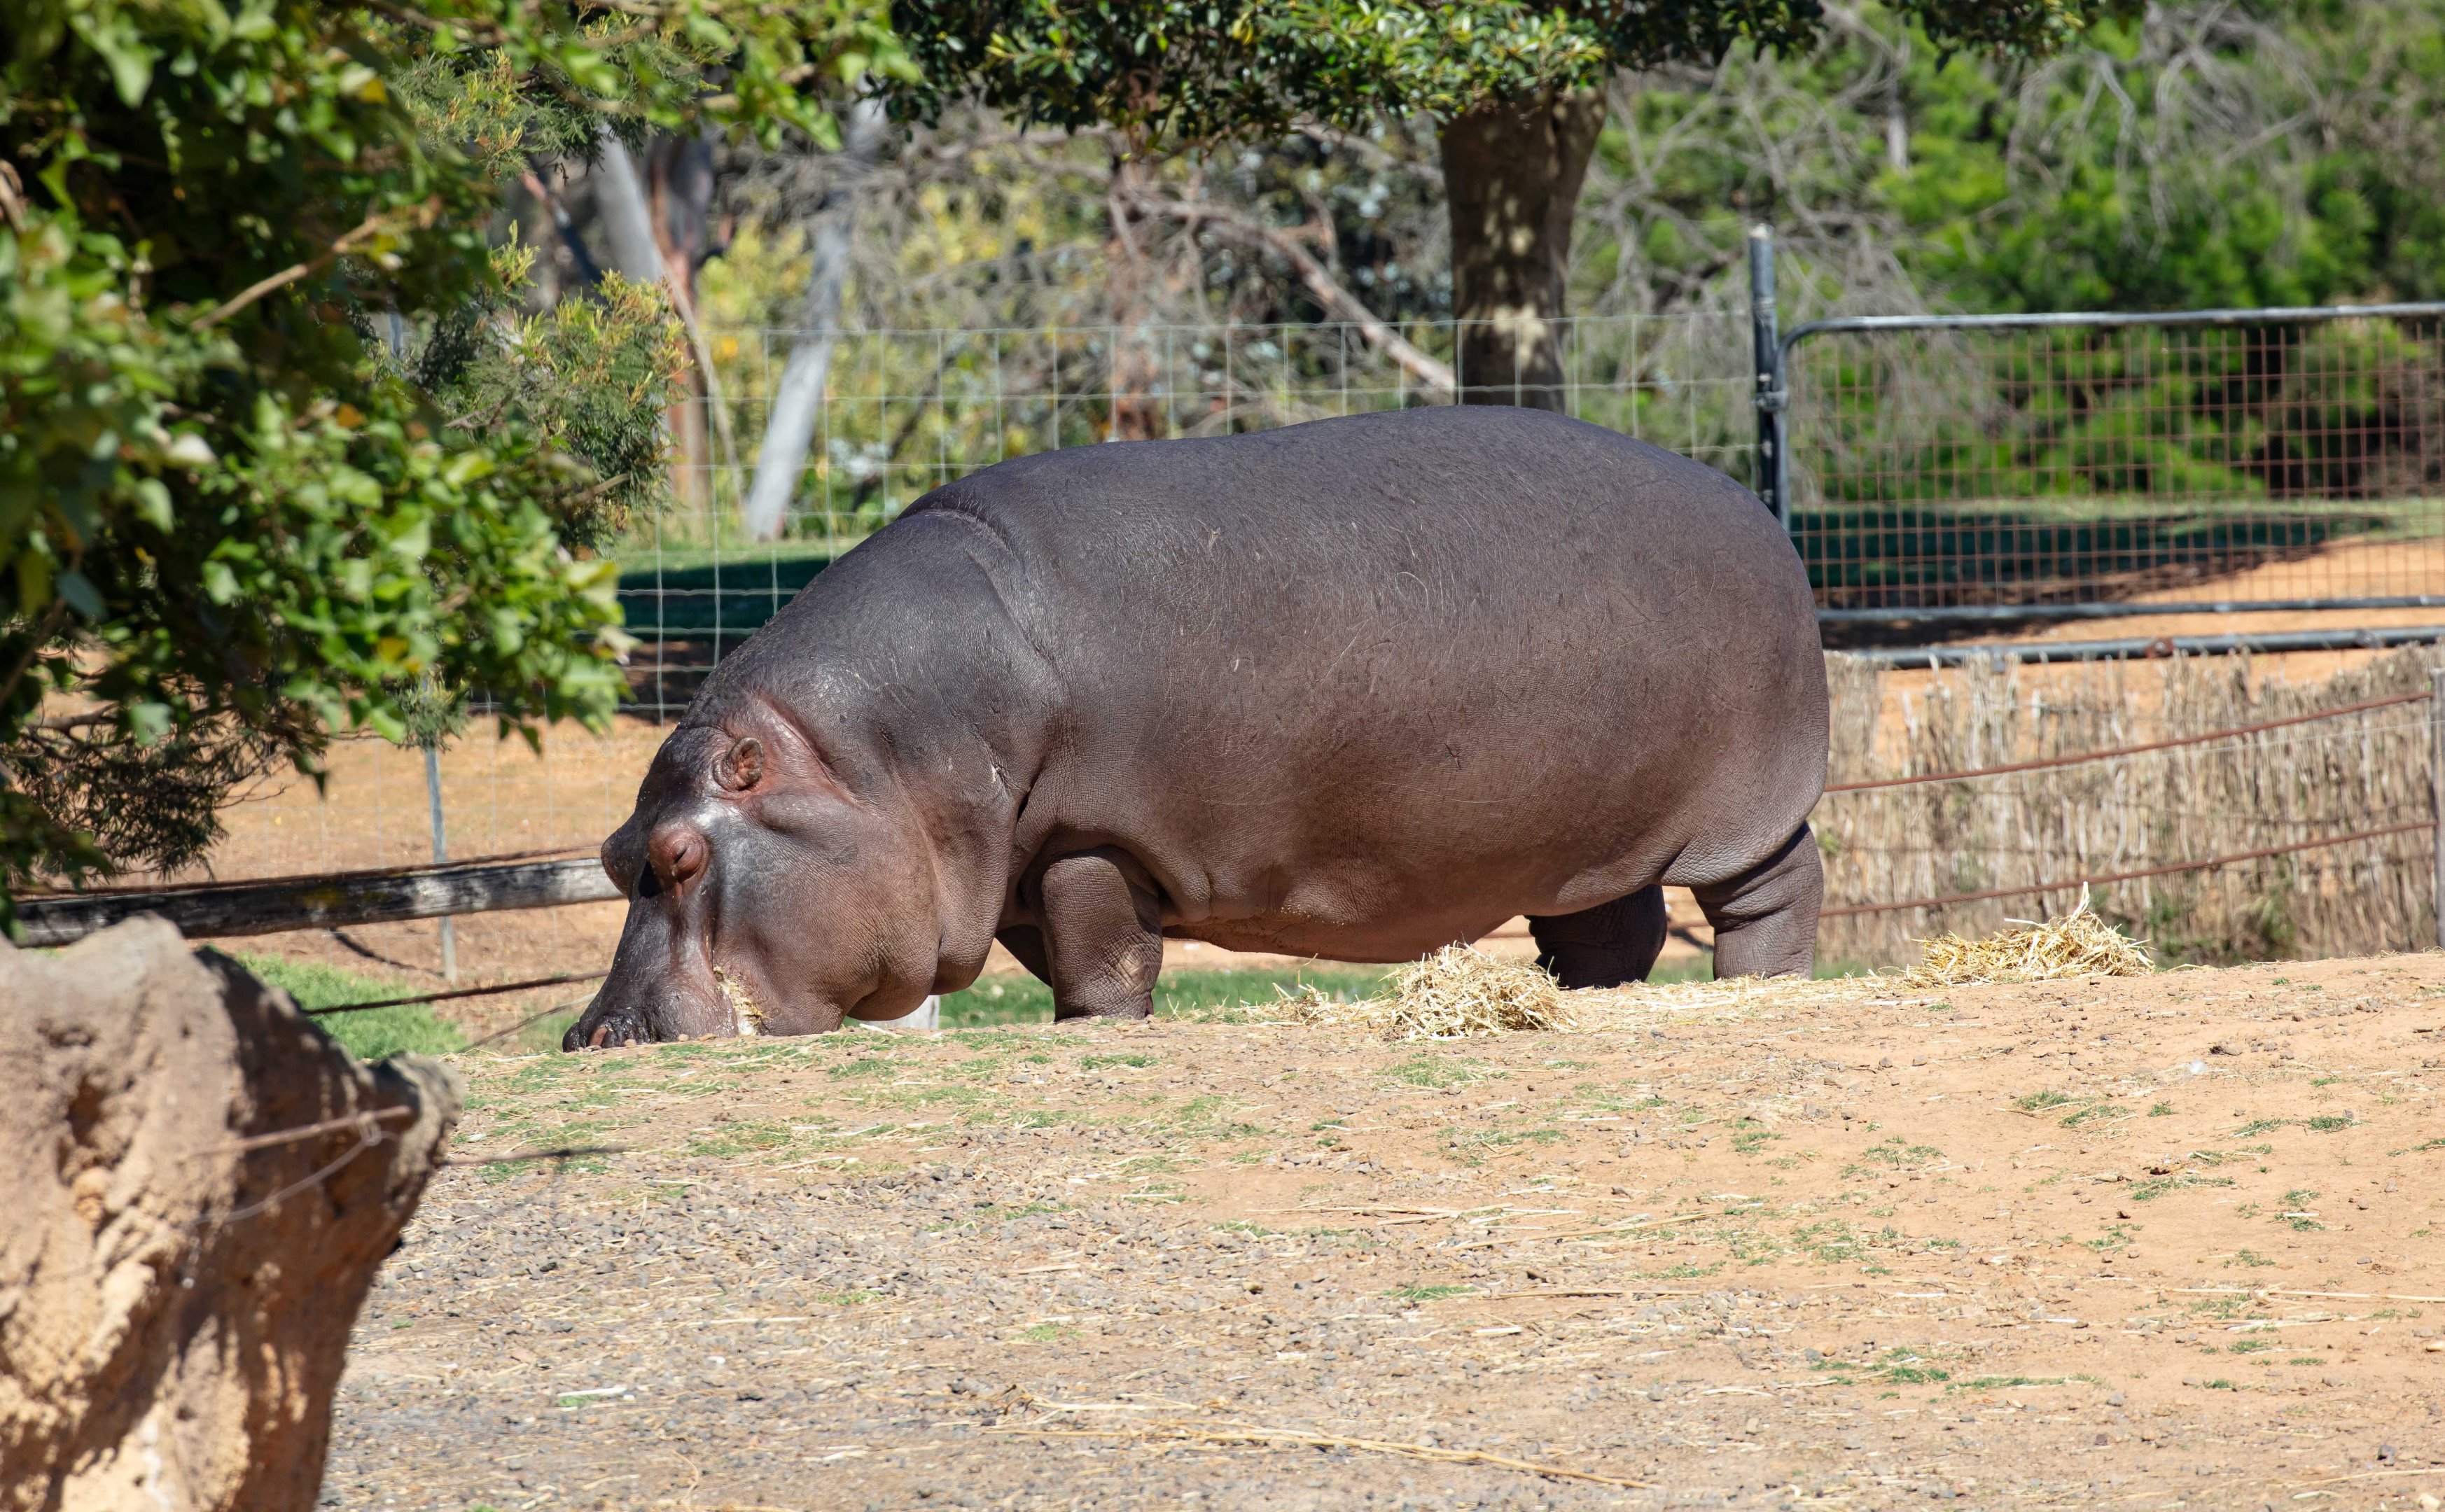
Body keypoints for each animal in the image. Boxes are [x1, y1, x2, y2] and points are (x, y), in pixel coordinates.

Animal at [567, 405, 1826, 1047]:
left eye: (679, 857)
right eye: (616, 854)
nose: (594, 1036)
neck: (859, 761)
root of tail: (1754, 508)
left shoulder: (1089, 837)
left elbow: (1103, 955)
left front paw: (1101, 1032)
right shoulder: (1014, 864)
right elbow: (1077, 964)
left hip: (1745, 809)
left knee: (1773, 892)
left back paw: (1756, 986)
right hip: (1585, 835)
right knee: (1611, 929)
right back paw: (1583, 1000)